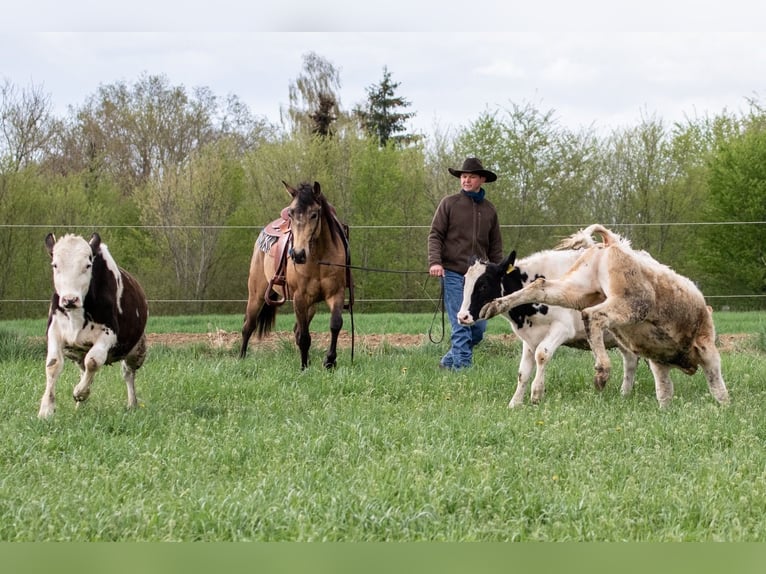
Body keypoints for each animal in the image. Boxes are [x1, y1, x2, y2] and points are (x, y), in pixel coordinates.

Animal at [240, 181, 351, 369]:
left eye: (314, 214)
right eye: (291, 214)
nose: (298, 254)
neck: (318, 257)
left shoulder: (336, 293)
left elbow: (335, 324)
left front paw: (329, 361)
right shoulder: (300, 297)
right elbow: (304, 337)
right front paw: (304, 367)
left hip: (311, 305)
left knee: (297, 329)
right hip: (256, 295)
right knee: (248, 326)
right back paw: (240, 358)